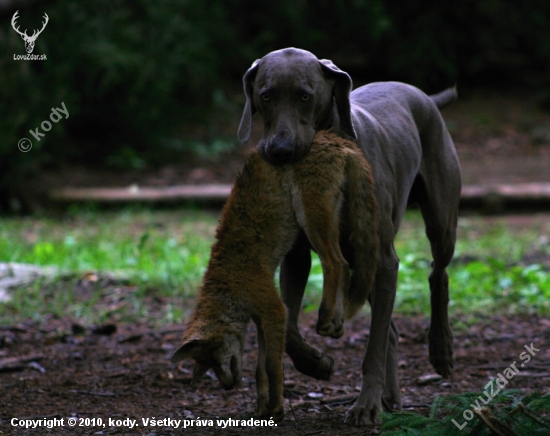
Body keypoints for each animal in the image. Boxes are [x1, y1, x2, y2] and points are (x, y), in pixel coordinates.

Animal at [171, 130, 380, 422]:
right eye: (207, 365)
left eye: (214, 357)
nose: (227, 387)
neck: (229, 286)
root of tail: (334, 139)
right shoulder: (261, 320)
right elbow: (259, 371)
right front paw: (262, 409)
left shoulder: (275, 310)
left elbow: (273, 367)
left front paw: (279, 409)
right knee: (343, 266)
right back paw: (336, 320)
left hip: (310, 216)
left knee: (337, 263)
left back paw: (327, 318)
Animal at [237, 47, 462, 426]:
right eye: (265, 96)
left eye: (305, 96)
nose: (280, 150)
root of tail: (425, 98)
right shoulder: (297, 257)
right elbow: (290, 327)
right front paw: (317, 363)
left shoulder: (384, 260)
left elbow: (372, 348)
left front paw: (365, 406)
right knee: (392, 329)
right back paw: (391, 396)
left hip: (440, 220)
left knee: (438, 272)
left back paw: (441, 350)